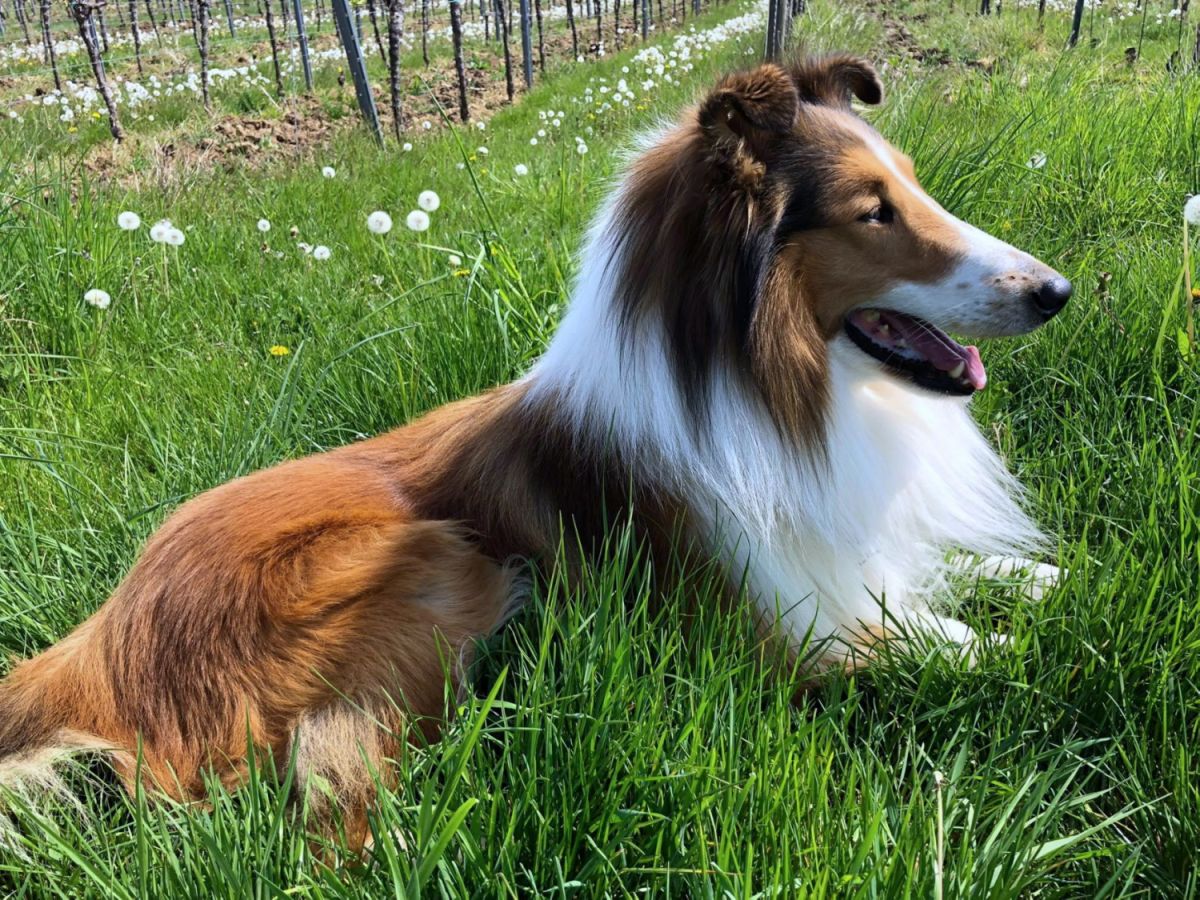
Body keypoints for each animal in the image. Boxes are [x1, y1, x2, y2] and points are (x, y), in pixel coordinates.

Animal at [0, 56, 1070, 845]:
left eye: (913, 190)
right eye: (872, 210)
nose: (1055, 291)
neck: (765, 386)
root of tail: (95, 641)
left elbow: (959, 575)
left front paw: (1047, 578)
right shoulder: (771, 635)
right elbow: (949, 641)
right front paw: (1037, 644)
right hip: (429, 562)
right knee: (336, 803)